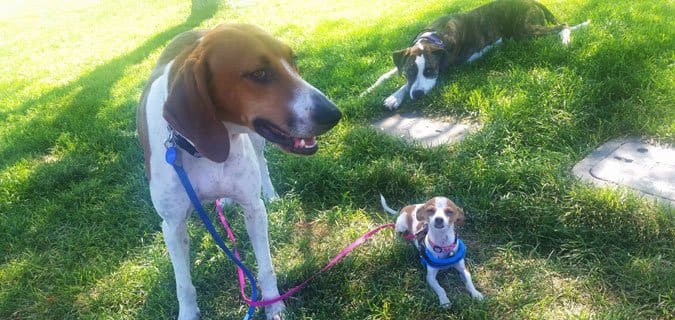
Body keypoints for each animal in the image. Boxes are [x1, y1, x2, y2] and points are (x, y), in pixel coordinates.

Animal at [136, 23, 344, 318]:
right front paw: (188, 313)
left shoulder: (253, 208)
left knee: (262, 163)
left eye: (293, 60)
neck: (198, 147)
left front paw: (273, 305)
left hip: (257, 143)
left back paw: (271, 194)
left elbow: (266, 268)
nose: (334, 114)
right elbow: (183, 285)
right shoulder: (172, 225)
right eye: (259, 74)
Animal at [364, 0, 592, 109]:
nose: (418, 95)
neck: (434, 37)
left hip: (525, 30)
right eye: (409, 72)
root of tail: (532, 2)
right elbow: (387, 74)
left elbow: (403, 85)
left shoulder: (446, 66)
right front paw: (368, 91)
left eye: (431, 71)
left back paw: (565, 40)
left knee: (564, 25)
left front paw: (393, 97)